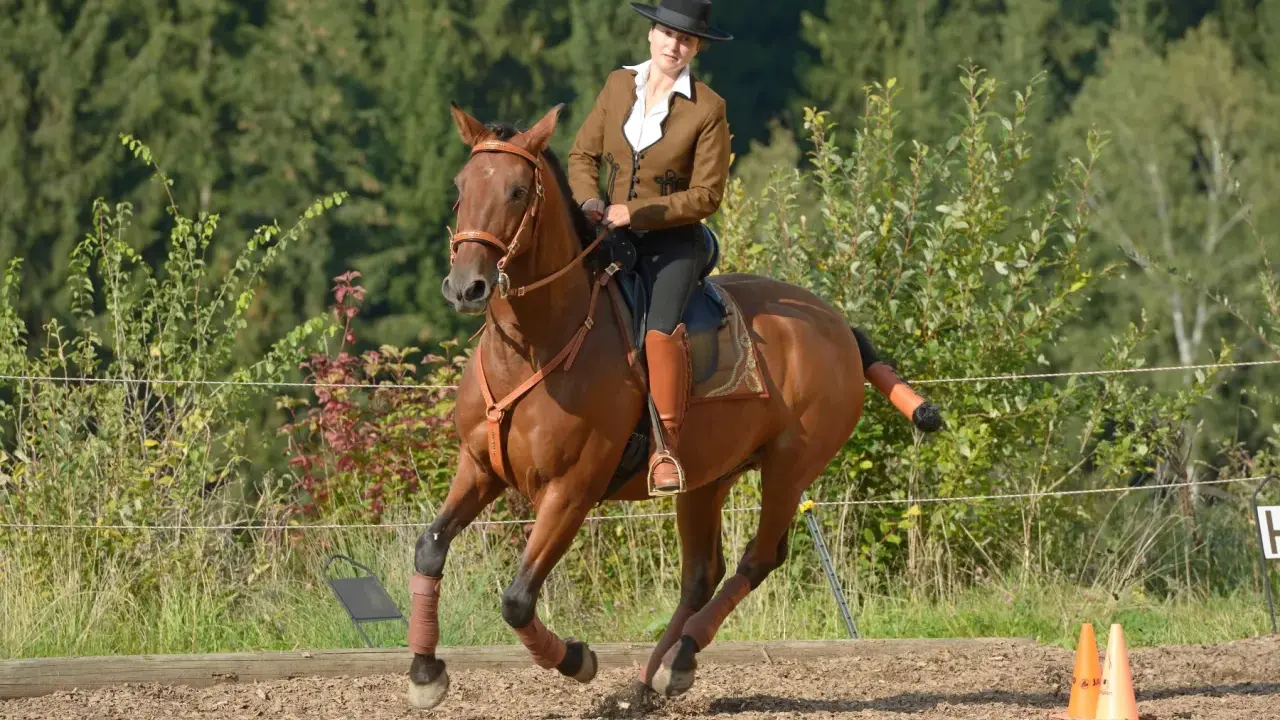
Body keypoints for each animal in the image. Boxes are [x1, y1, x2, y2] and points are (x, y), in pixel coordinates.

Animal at [404, 102, 943, 710]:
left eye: (518, 191)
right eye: (460, 188)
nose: (465, 286)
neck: (531, 348)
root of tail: (839, 327)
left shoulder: (571, 492)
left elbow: (517, 599)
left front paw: (577, 659)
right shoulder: (479, 469)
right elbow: (430, 548)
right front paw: (424, 672)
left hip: (789, 468)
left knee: (760, 558)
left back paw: (678, 661)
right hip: (707, 479)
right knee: (702, 575)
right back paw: (651, 682)